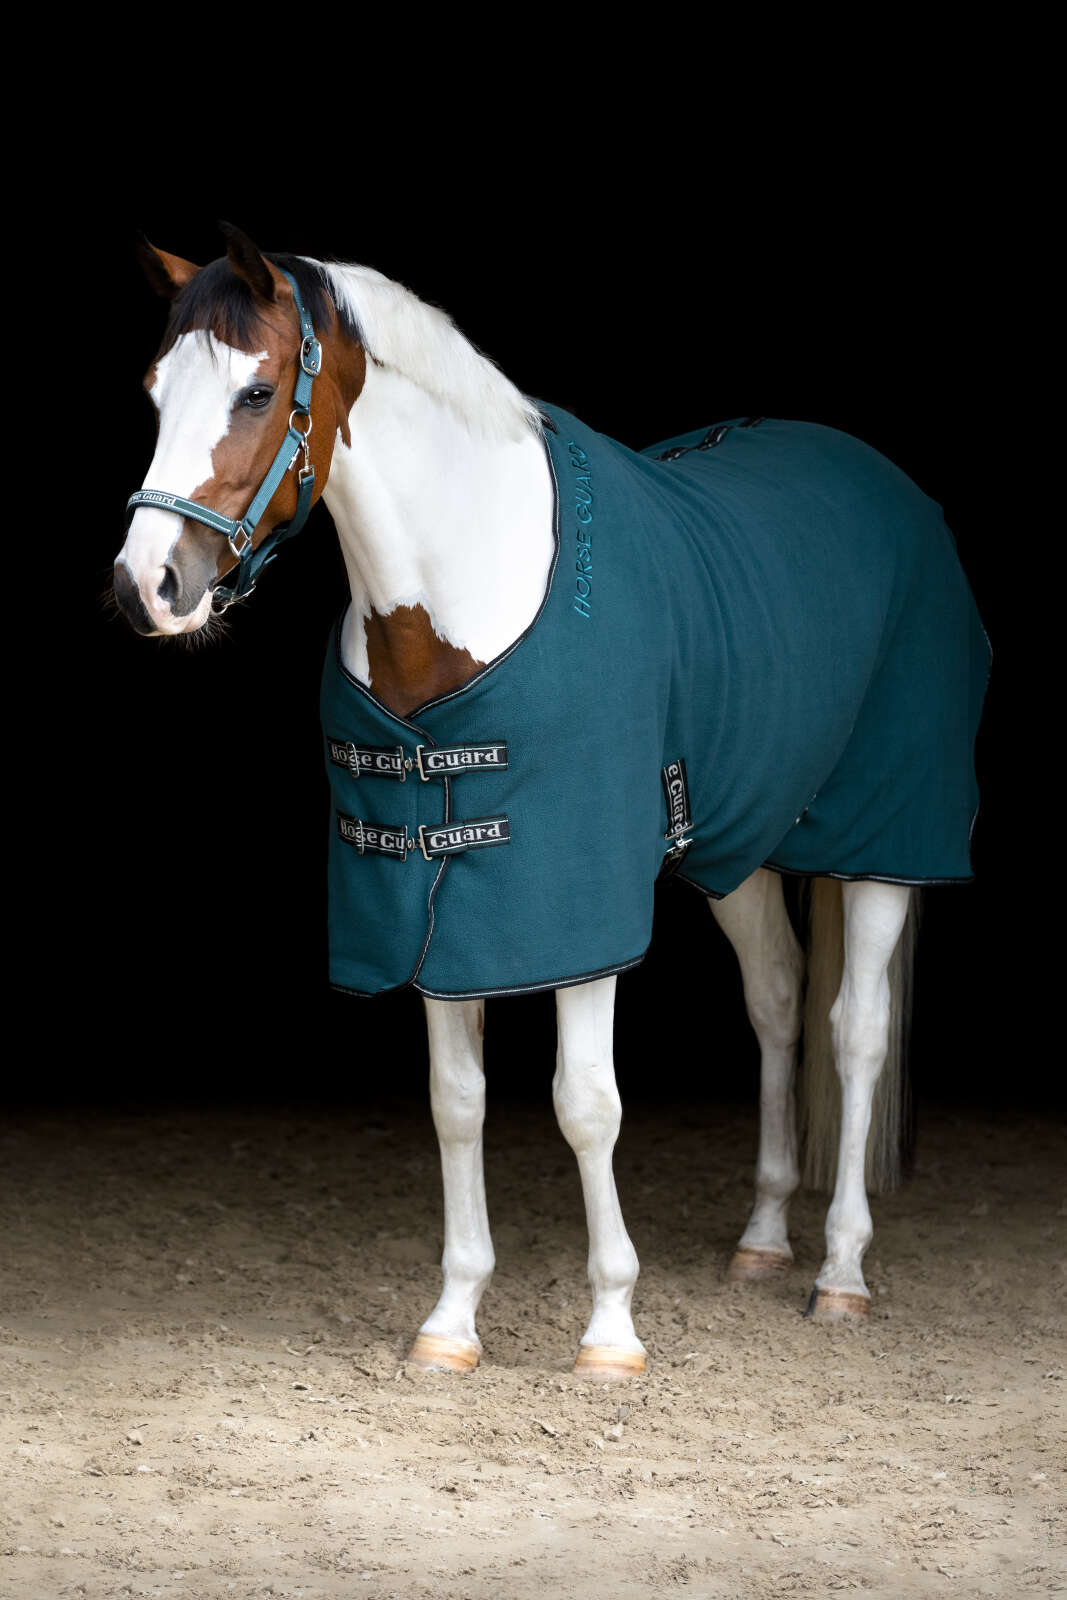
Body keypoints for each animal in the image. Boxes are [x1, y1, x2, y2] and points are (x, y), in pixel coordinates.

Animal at [113, 224, 988, 1381]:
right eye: (156, 391)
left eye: (256, 392)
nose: (147, 586)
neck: (465, 596)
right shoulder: (433, 900)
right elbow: (456, 1104)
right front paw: (450, 1321)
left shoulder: (572, 911)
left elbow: (585, 1105)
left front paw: (610, 1328)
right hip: (738, 846)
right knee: (776, 1000)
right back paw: (761, 1239)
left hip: (885, 838)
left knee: (856, 1030)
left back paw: (839, 1271)